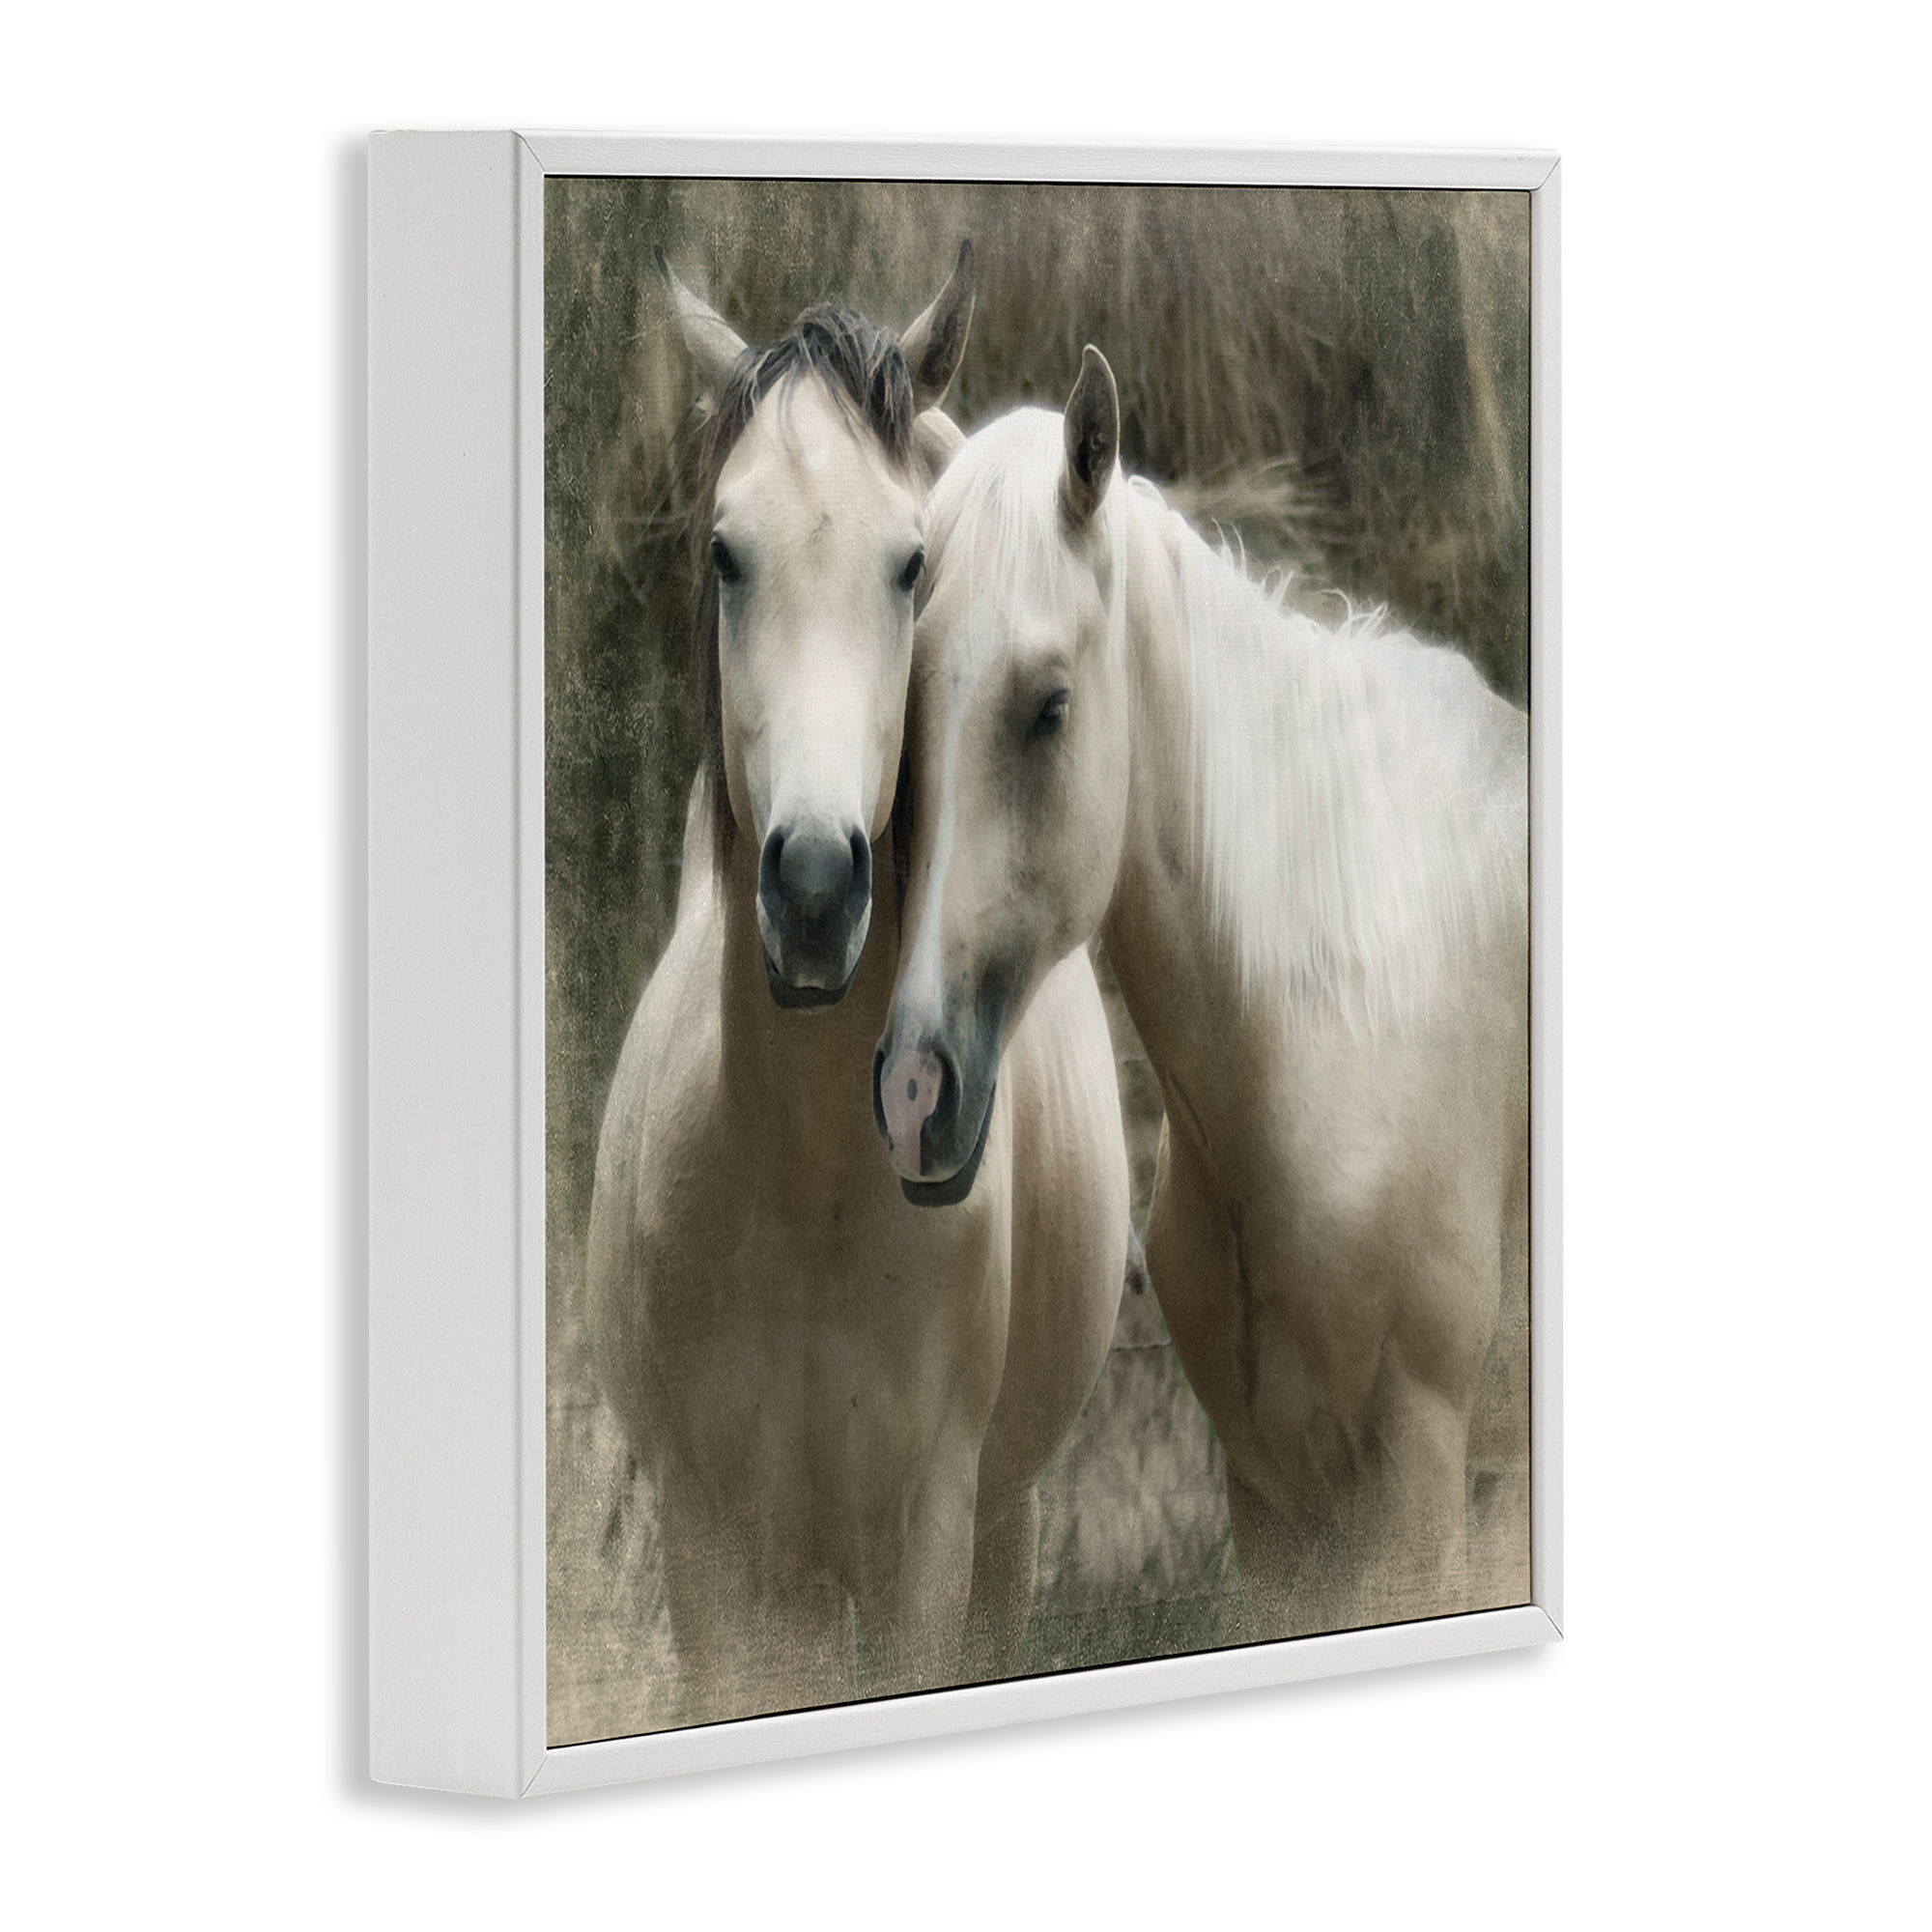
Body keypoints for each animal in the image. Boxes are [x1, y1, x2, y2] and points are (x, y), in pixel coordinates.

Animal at [584, 259, 1129, 1723]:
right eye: (727, 552)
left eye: (909, 562)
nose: (821, 882)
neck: (804, 1189)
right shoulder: (714, 1558)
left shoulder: (925, 1544)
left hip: (999, 1527)